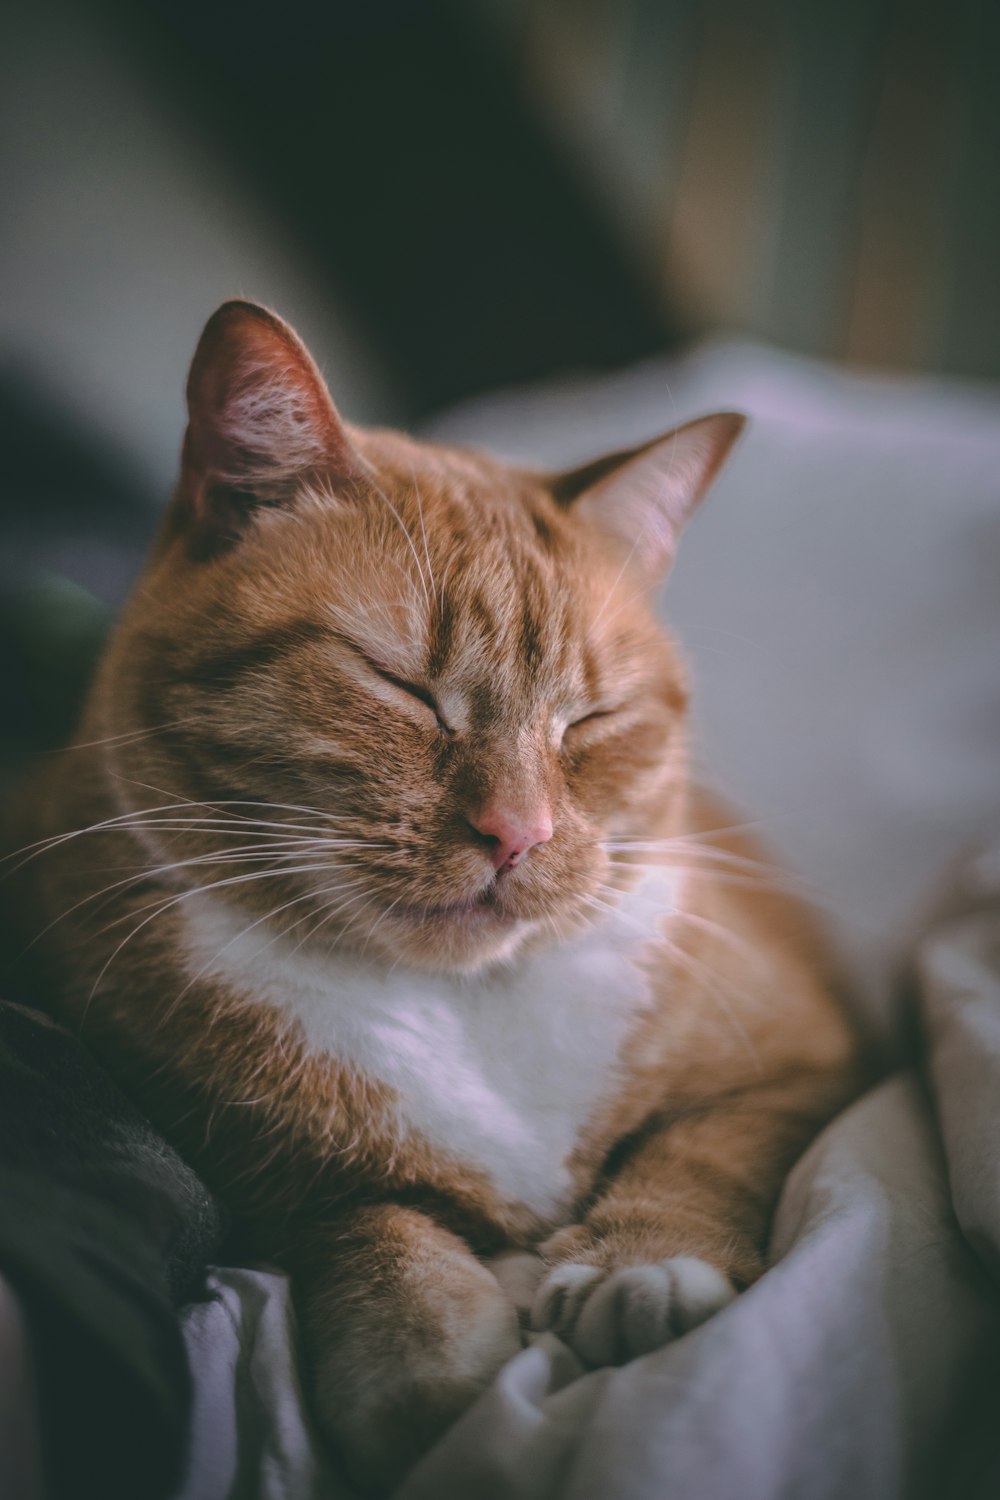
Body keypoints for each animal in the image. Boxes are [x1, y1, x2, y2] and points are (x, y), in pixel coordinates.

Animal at [7, 301, 863, 1488]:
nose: (519, 833)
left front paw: (641, 1265)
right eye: (400, 687)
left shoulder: (806, 1062)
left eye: (590, 720)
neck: (465, 1009)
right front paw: (431, 1372)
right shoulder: (255, 1174)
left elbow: (700, 1149)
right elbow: (373, 1232)